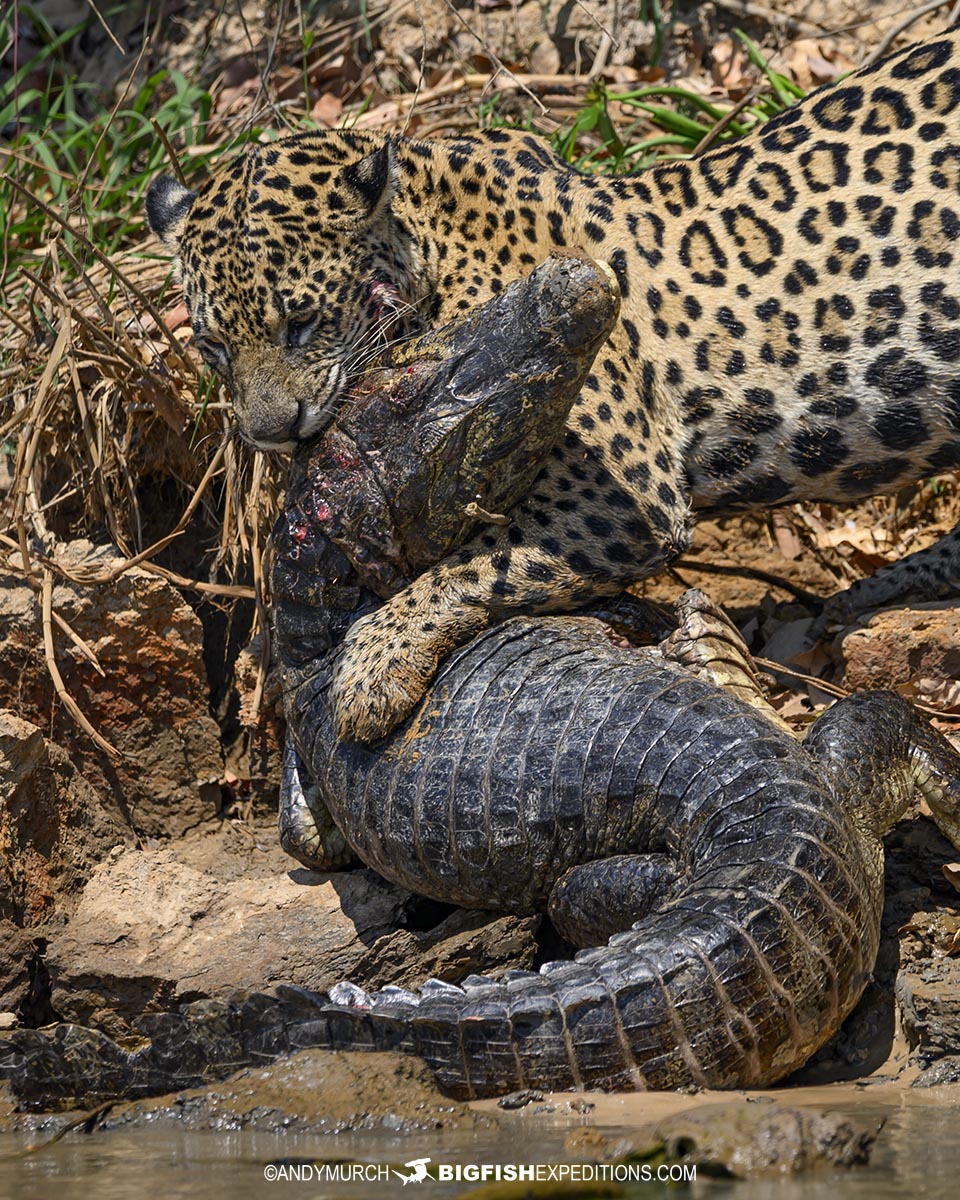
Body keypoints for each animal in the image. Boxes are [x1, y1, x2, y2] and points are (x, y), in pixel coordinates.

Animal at [147, 28, 960, 744]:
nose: (269, 433)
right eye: (212, 347)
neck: (430, 235)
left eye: (302, 322)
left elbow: (478, 562)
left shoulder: (626, 496)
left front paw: (373, 666)